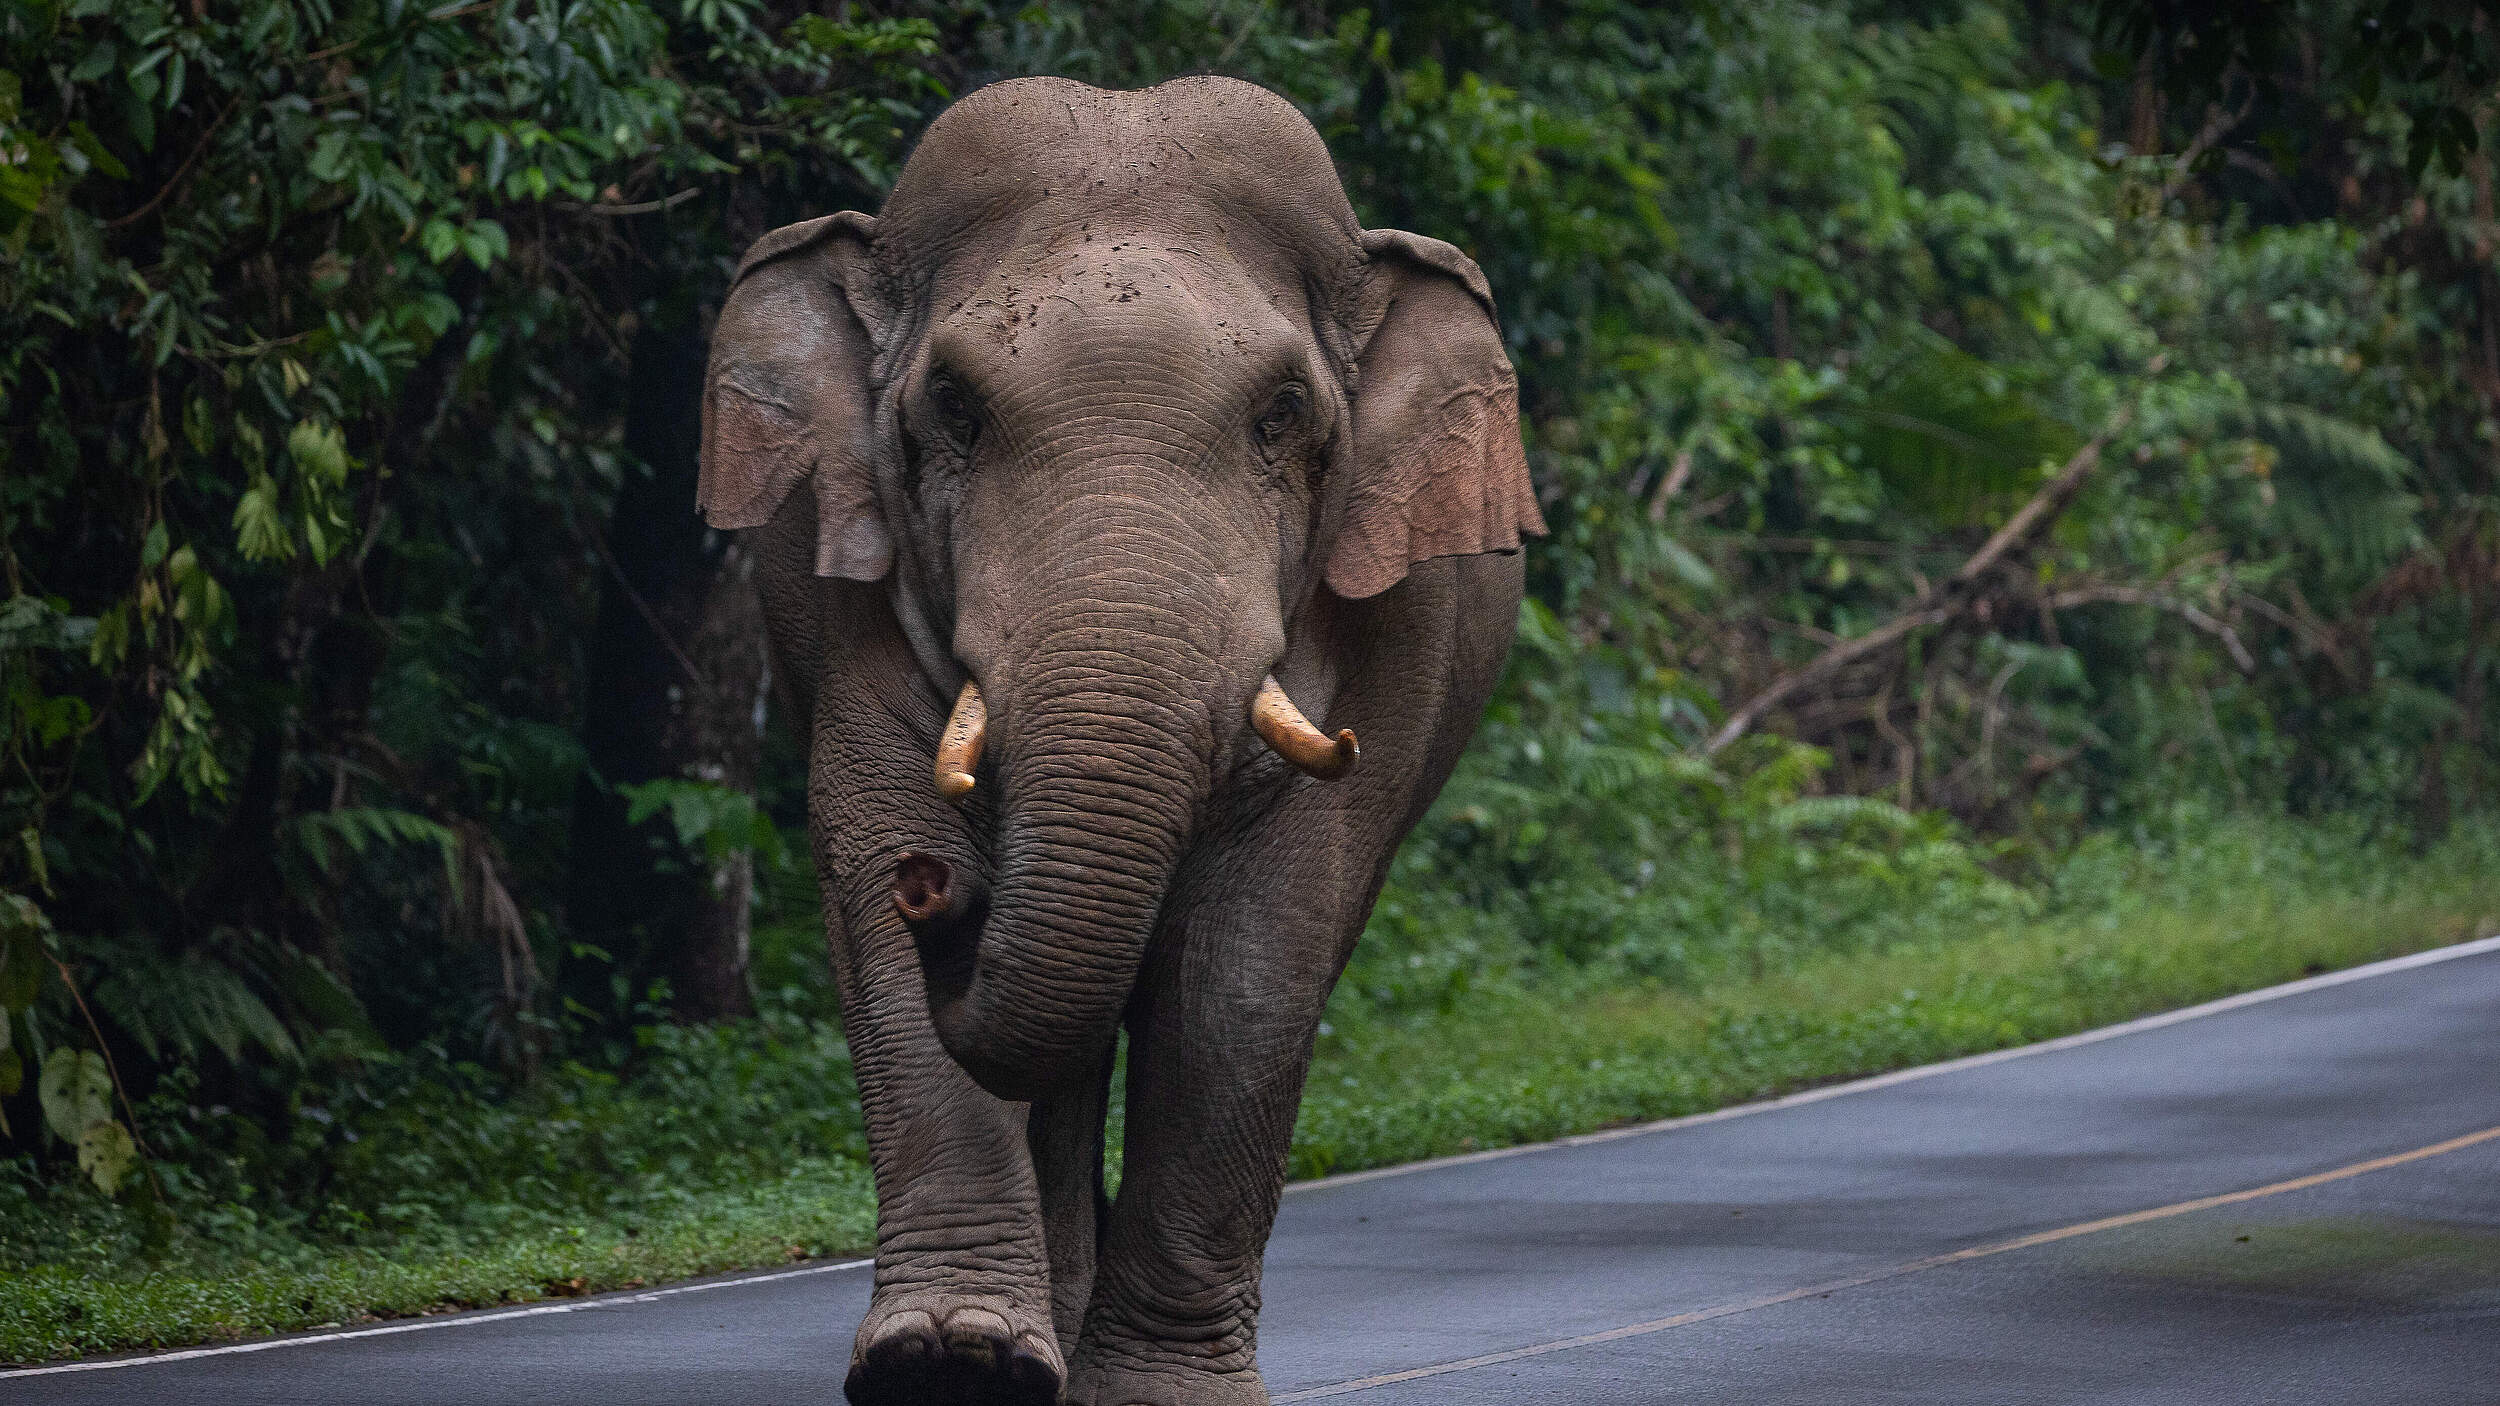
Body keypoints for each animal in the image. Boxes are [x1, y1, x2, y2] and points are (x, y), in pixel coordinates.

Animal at [697, 75, 1542, 1406]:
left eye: (1282, 413)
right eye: (953, 409)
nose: (943, 891)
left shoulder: (1392, 620)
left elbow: (1251, 956)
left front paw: (1155, 1391)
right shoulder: (838, 591)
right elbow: (875, 861)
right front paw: (951, 1360)